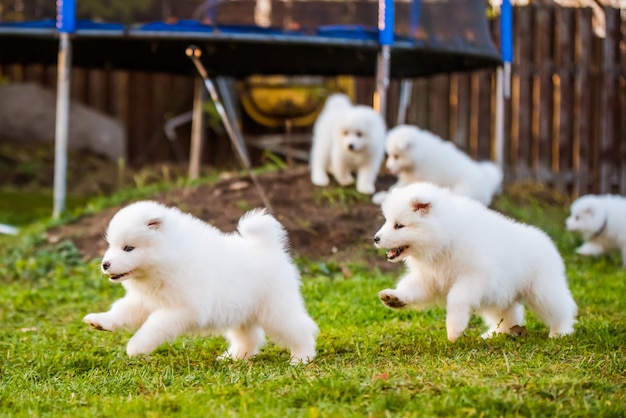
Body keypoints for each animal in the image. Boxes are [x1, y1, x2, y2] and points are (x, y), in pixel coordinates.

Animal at [83, 201, 316, 364]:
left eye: (128, 248)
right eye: (111, 245)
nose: (105, 264)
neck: (168, 257)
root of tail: (268, 247)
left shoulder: (182, 309)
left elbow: (154, 325)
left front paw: (136, 347)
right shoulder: (145, 300)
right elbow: (121, 310)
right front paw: (100, 321)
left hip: (275, 311)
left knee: (301, 329)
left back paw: (301, 358)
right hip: (241, 312)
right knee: (249, 338)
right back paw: (233, 357)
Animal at [370, 184, 576, 342]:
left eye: (399, 225)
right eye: (387, 221)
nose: (375, 238)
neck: (446, 239)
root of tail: (548, 244)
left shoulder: (474, 278)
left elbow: (456, 299)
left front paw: (454, 330)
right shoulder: (429, 279)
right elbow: (410, 289)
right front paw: (393, 297)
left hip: (542, 292)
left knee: (561, 309)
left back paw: (560, 332)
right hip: (501, 297)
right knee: (507, 317)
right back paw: (495, 334)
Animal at [372, 124, 500, 206]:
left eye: (396, 156)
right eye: (389, 155)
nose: (387, 169)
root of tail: (486, 182)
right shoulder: (409, 179)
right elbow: (396, 188)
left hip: (463, 190)